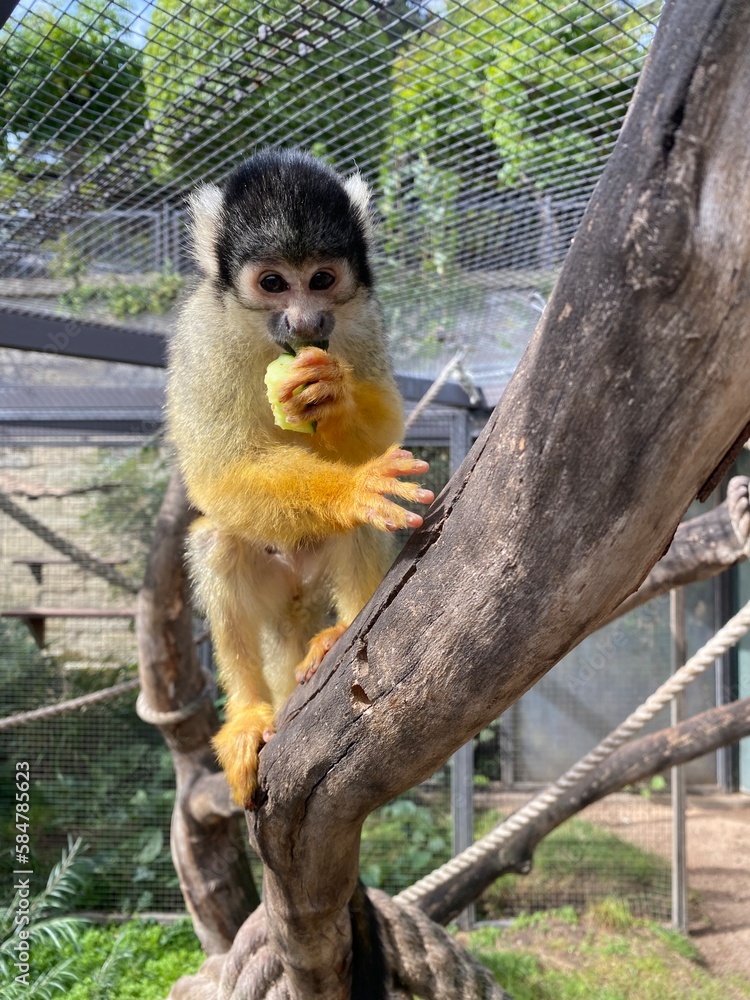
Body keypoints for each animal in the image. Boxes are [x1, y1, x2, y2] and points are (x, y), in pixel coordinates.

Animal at [167, 149, 434, 808]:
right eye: (272, 284)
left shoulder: (363, 317)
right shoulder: (200, 331)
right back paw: (249, 713)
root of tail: (298, 608)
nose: (308, 320)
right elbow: (215, 472)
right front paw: (351, 489)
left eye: (321, 280)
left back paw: (343, 632)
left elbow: (385, 437)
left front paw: (332, 396)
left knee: (354, 534)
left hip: (318, 586)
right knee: (218, 540)